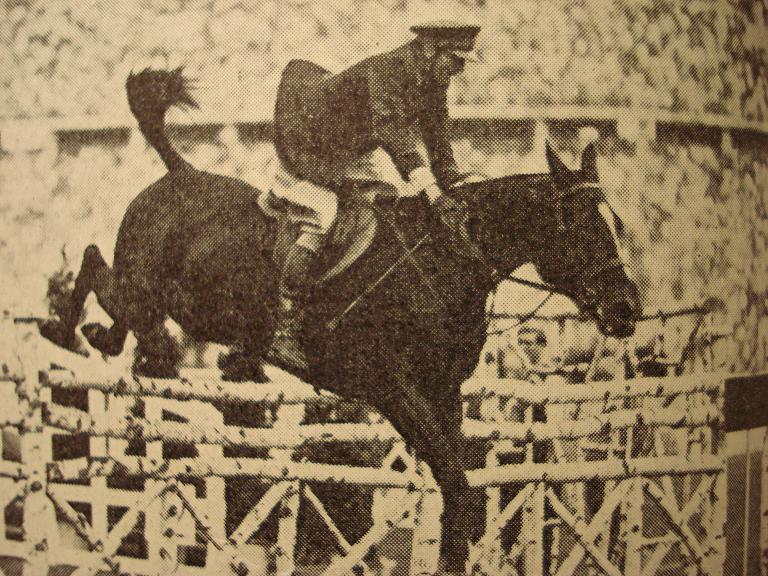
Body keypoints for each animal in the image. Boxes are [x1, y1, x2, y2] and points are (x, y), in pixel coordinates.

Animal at [41, 68, 641, 574]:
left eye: (616, 222)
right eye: (581, 225)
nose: (628, 309)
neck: (449, 261)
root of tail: (178, 172)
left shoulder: (443, 392)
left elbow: (457, 487)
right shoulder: (392, 386)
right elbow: (456, 482)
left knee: (117, 297)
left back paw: (110, 340)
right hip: (151, 291)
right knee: (99, 270)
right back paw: (71, 331)